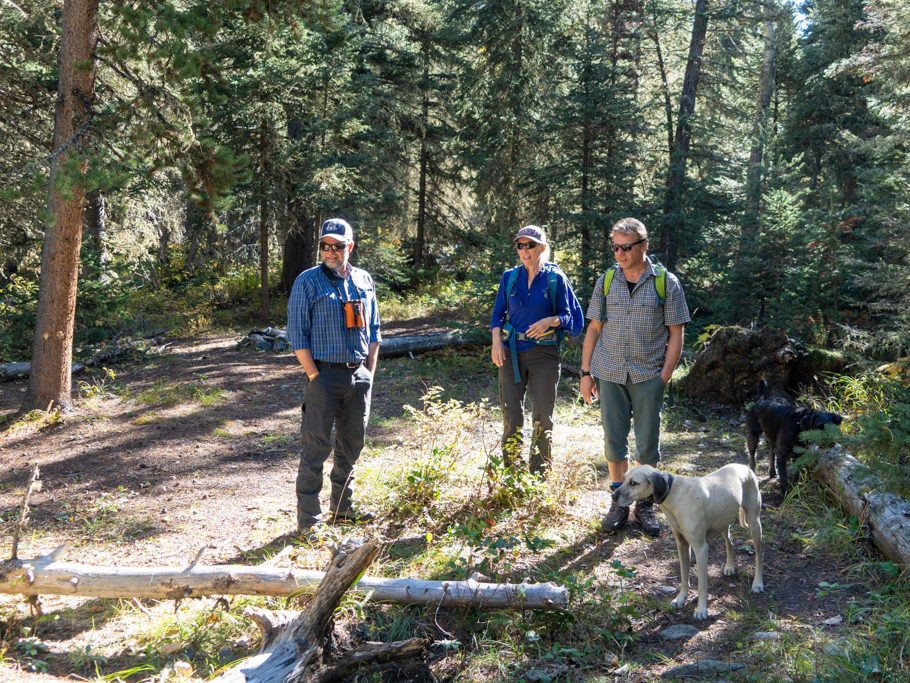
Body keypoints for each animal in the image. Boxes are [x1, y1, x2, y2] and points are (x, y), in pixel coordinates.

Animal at [612, 464, 768, 620]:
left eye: (633, 483)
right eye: (623, 479)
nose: (613, 496)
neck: (674, 492)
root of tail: (743, 466)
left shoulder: (701, 549)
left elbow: (702, 585)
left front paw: (701, 610)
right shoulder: (682, 545)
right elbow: (684, 577)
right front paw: (681, 598)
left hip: (755, 524)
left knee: (759, 555)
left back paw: (758, 583)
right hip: (724, 522)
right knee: (730, 542)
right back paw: (730, 566)